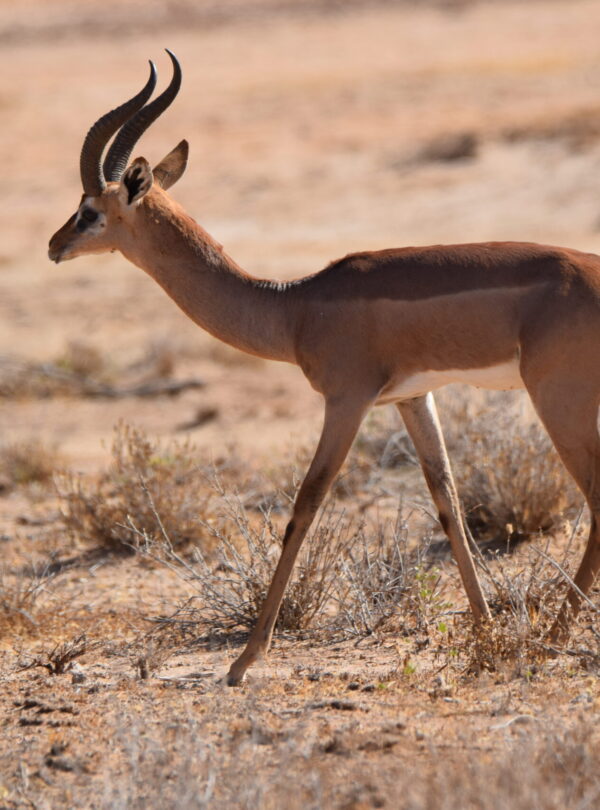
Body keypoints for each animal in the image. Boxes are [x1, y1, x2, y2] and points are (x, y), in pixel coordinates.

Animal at [49, 51, 600, 685]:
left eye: (89, 210)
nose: (54, 245)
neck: (293, 307)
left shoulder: (347, 400)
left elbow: (305, 505)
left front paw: (244, 660)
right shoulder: (412, 398)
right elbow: (449, 503)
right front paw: (487, 634)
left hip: (558, 398)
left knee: (597, 499)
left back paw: (554, 639)